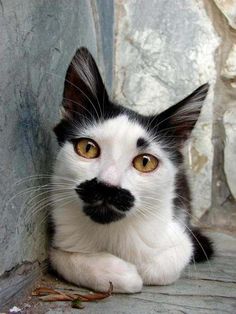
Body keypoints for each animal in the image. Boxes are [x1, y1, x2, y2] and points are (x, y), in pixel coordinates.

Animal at [49, 47, 214, 294]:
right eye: (87, 148)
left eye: (145, 162)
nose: (107, 186)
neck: (111, 232)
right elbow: (64, 257)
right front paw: (118, 273)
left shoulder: (179, 233)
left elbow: (167, 262)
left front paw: (141, 268)